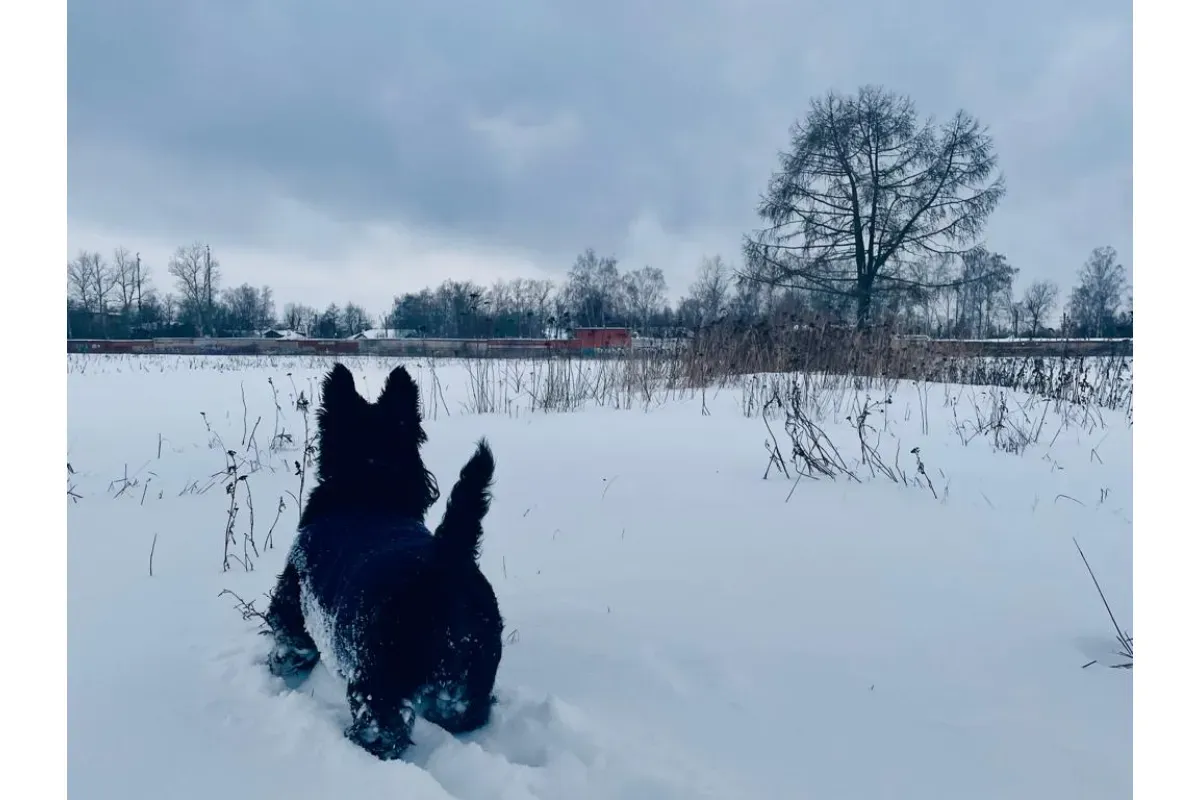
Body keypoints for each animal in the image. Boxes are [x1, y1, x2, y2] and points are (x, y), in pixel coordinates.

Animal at [265, 367, 504, 762]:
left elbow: (288, 644)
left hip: (379, 684)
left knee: (382, 731)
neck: (368, 485)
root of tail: (446, 562)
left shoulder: (292, 608)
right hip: (468, 685)